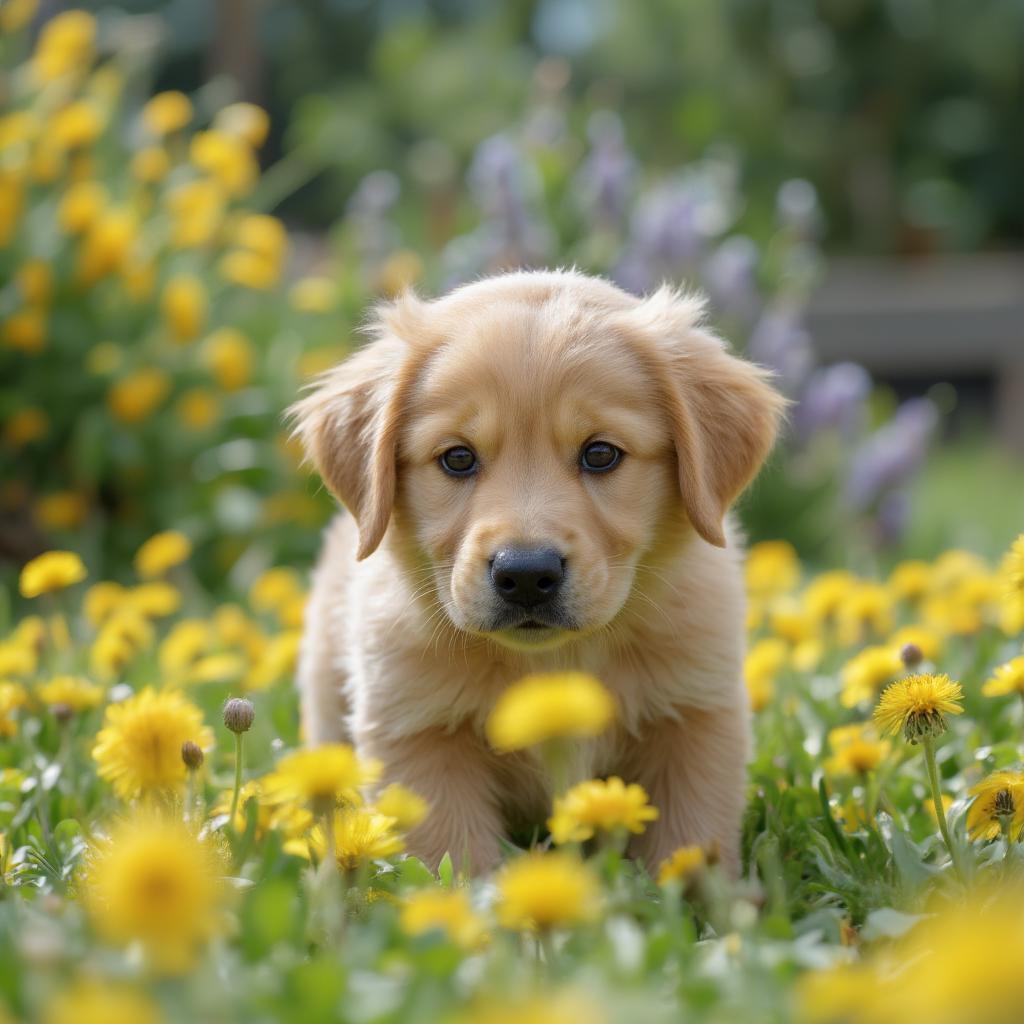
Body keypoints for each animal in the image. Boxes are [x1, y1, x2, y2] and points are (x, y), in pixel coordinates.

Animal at [290, 268, 782, 876]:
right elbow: (451, 864)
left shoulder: (696, 715)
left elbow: (688, 843)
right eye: (457, 458)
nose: (525, 574)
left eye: (600, 454)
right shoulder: (417, 732)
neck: (553, 659)